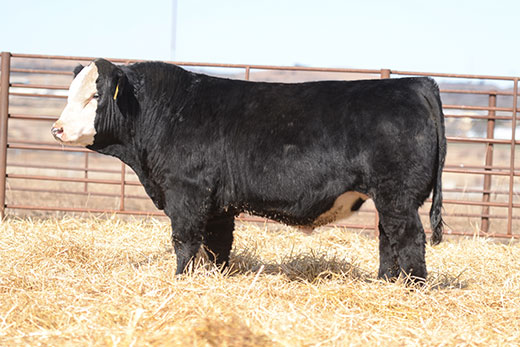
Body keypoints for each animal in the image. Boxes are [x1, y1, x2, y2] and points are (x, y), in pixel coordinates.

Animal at [58, 59, 446, 282]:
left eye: (95, 96)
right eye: (70, 93)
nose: (57, 128)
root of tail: (414, 82)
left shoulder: (187, 191)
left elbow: (185, 241)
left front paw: (180, 281)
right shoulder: (217, 204)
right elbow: (217, 246)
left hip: (397, 195)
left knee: (409, 239)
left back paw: (411, 288)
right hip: (389, 198)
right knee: (387, 238)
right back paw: (384, 283)